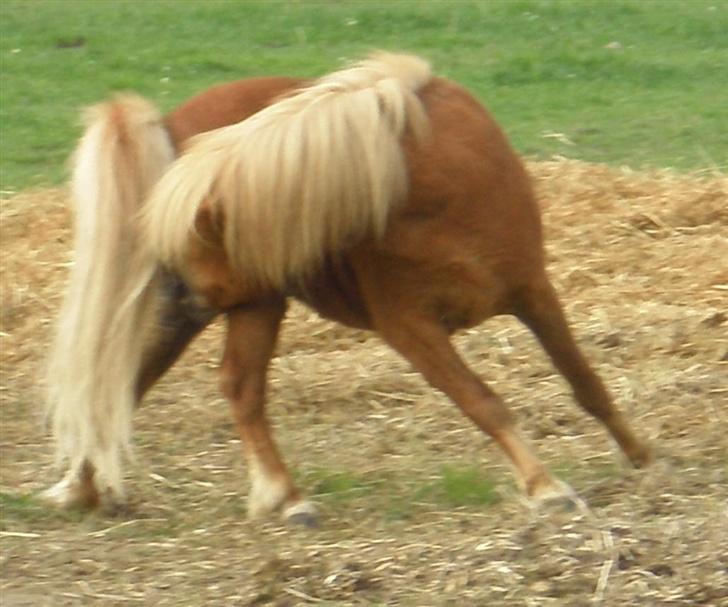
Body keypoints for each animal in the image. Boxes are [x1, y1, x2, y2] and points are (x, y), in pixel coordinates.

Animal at [45, 54, 648, 524]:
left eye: (186, 236)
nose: (177, 293)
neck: (434, 186)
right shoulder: (411, 327)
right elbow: (484, 402)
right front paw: (546, 488)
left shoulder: (532, 292)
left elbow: (586, 382)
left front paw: (641, 455)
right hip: (252, 301)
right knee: (190, 386)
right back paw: (280, 497)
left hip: (251, 303)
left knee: (174, 384)